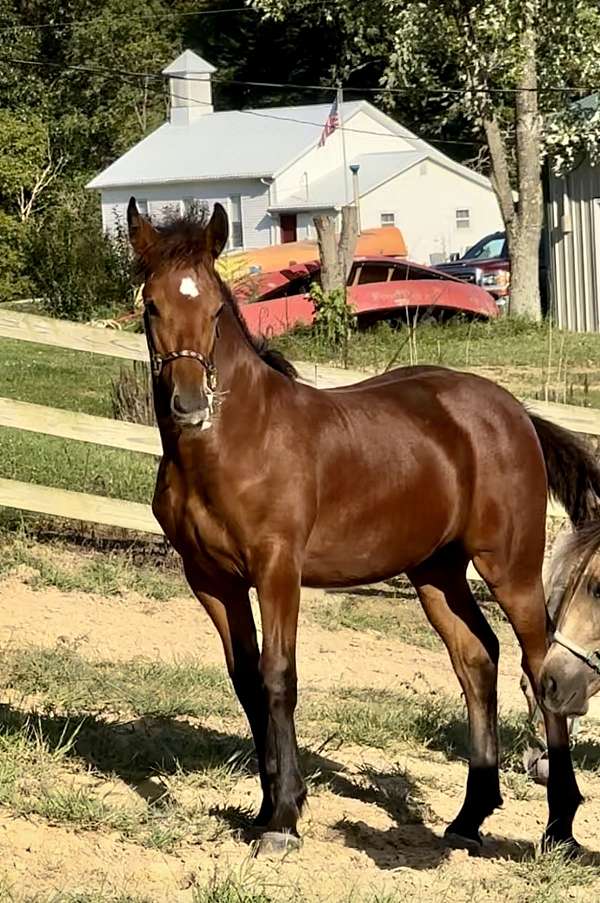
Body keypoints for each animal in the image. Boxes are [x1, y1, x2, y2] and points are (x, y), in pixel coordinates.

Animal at [125, 200, 600, 856]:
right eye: (152, 305)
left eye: (217, 309)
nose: (191, 404)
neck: (236, 444)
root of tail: (514, 412)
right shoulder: (211, 581)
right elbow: (245, 681)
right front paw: (266, 808)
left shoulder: (277, 570)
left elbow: (278, 676)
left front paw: (284, 821)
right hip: (436, 573)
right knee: (477, 659)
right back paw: (469, 817)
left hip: (511, 569)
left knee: (538, 666)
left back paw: (560, 825)